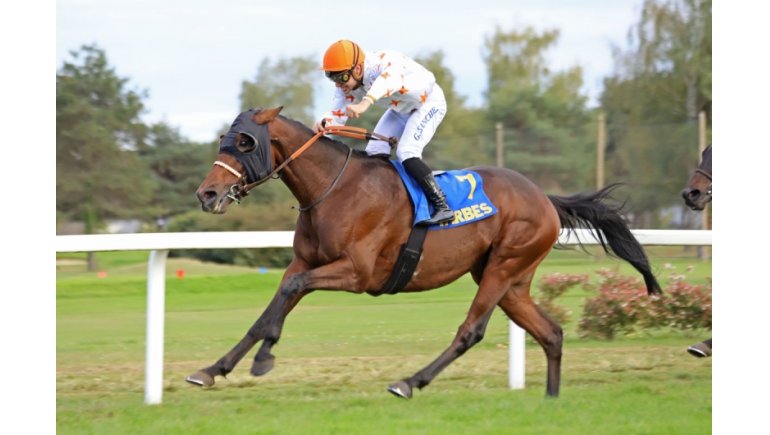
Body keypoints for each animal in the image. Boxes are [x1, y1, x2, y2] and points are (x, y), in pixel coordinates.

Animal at [188, 106, 661, 398]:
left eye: (245, 143)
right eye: (224, 140)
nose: (206, 194)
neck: (334, 189)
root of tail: (546, 198)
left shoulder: (357, 273)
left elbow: (291, 294)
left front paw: (264, 357)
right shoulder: (305, 263)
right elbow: (273, 305)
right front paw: (213, 369)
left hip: (503, 268)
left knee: (471, 331)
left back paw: (409, 382)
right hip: (511, 282)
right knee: (551, 333)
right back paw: (550, 398)